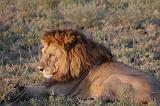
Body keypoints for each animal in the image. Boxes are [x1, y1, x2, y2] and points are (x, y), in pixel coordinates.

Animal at [19, 29, 160, 104]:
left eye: (52, 55)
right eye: (43, 53)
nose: (40, 69)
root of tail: (157, 94)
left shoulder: (59, 90)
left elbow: (30, 89)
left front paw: (16, 92)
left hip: (113, 78)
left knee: (100, 100)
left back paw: (77, 100)